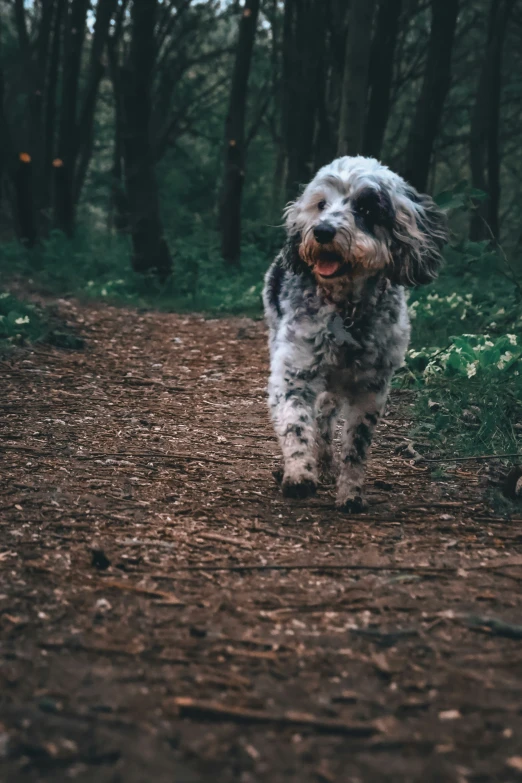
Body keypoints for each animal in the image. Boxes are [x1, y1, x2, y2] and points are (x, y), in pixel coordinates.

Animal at [262, 158, 444, 516]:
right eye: (321, 204)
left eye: (366, 207)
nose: (322, 231)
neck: (346, 309)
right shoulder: (295, 372)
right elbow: (295, 422)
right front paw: (299, 473)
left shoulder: (370, 389)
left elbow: (356, 447)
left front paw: (350, 493)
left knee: (325, 417)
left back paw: (326, 462)